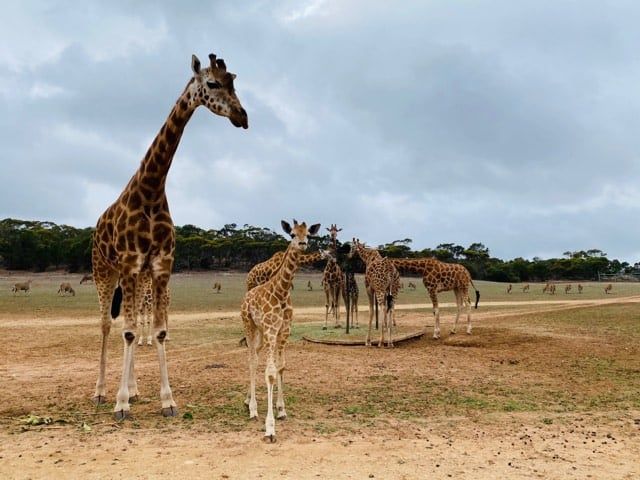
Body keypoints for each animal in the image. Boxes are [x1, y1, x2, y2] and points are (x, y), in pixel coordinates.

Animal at [90, 52, 248, 420]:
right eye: (212, 83)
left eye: (234, 81)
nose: (242, 116)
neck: (150, 190)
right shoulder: (131, 264)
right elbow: (128, 331)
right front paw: (120, 404)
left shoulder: (160, 266)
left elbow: (157, 331)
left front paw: (166, 400)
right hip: (104, 271)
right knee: (106, 325)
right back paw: (102, 391)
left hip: (133, 278)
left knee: (128, 324)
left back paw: (133, 389)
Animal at [240, 219, 320, 440]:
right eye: (292, 234)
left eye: (308, 234)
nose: (302, 244)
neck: (282, 292)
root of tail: (247, 295)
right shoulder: (270, 330)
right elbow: (270, 373)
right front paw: (270, 428)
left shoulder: (283, 331)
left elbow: (281, 367)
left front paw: (282, 410)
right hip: (249, 325)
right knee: (251, 359)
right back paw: (253, 409)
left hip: (261, 333)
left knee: (255, 356)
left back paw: (248, 400)